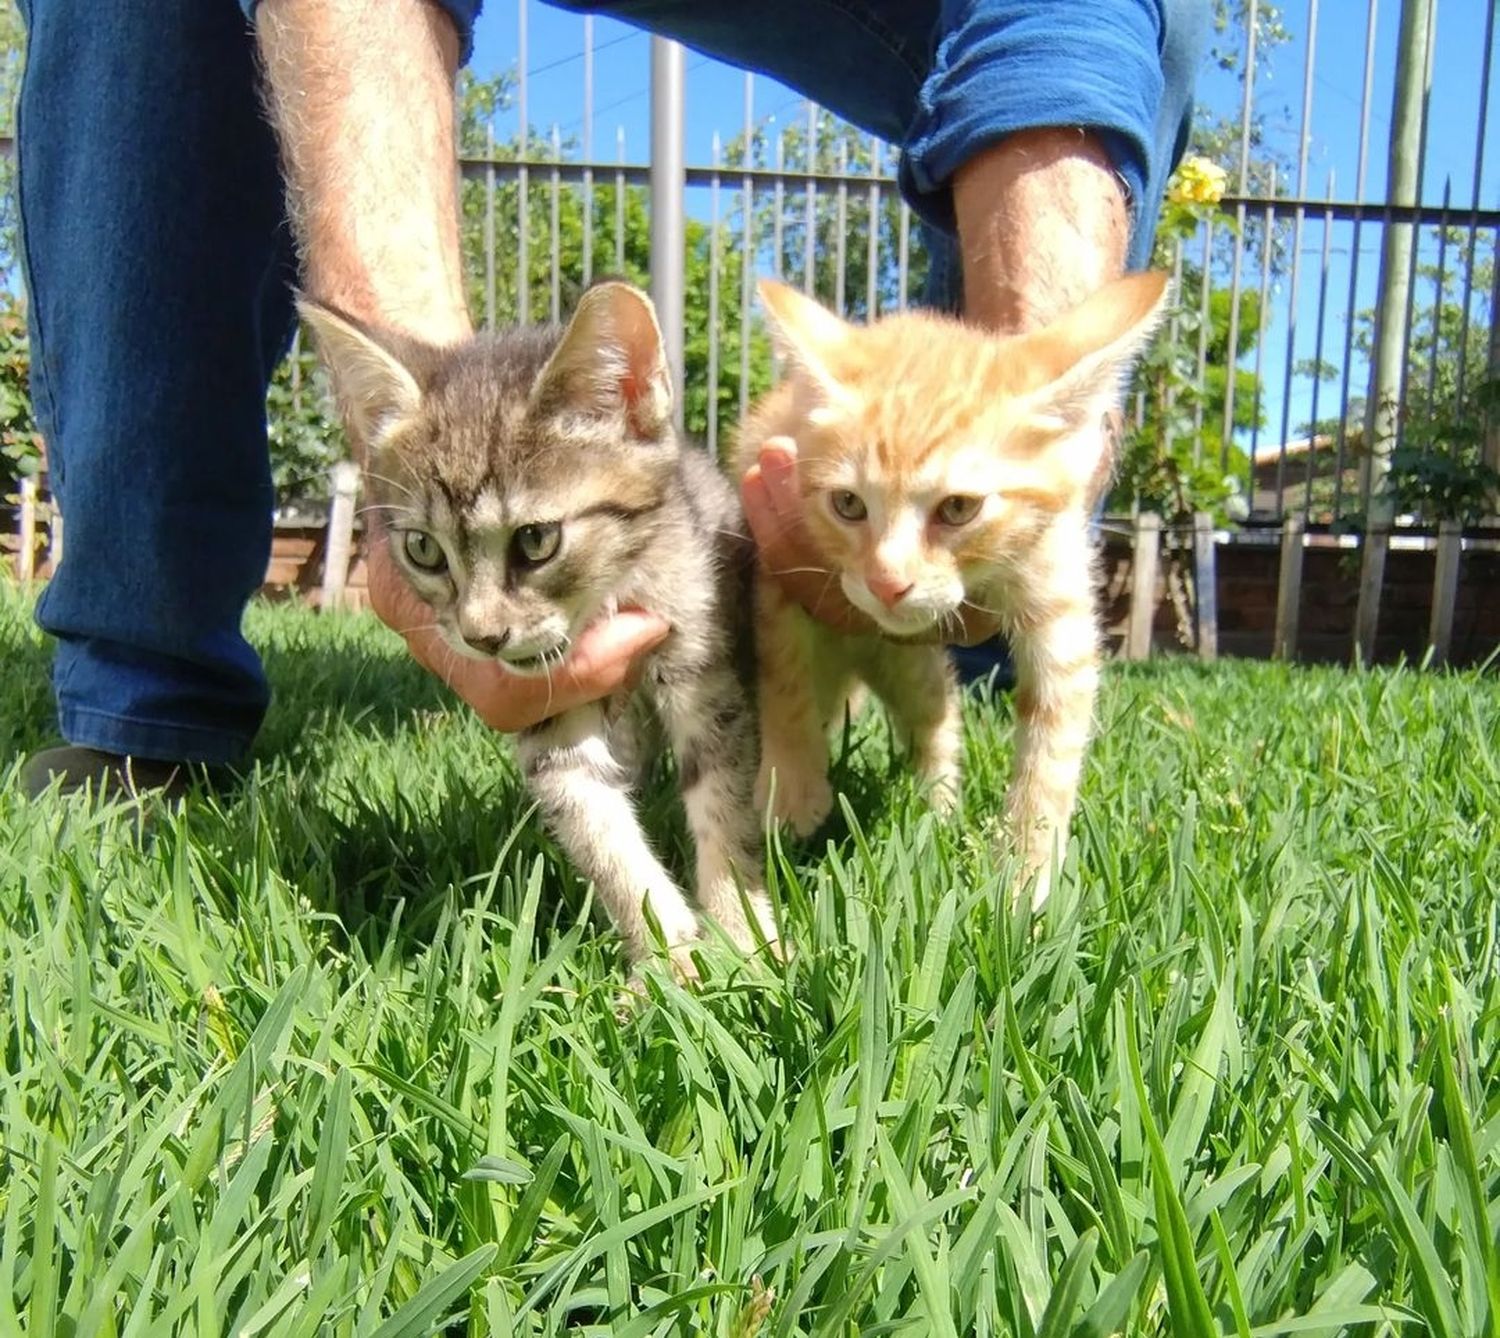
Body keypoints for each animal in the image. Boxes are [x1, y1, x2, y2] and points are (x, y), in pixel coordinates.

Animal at [300, 282, 780, 972]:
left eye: (536, 541)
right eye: (423, 550)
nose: (480, 637)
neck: (607, 600)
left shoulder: (704, 668)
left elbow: (723, 804)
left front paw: (745, 938)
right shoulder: (550, 711)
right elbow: (601, 836)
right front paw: (668, 957)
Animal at [738, 268, 1170, 900]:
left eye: (959, 508)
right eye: (848, 504)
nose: (887, 583)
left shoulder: (1054, 579)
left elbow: (1055, 735)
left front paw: (1026, 876)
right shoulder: (772, 563)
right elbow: (784, 676)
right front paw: (792, 785)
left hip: (908, 666)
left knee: (936, 717)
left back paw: (936, 810)